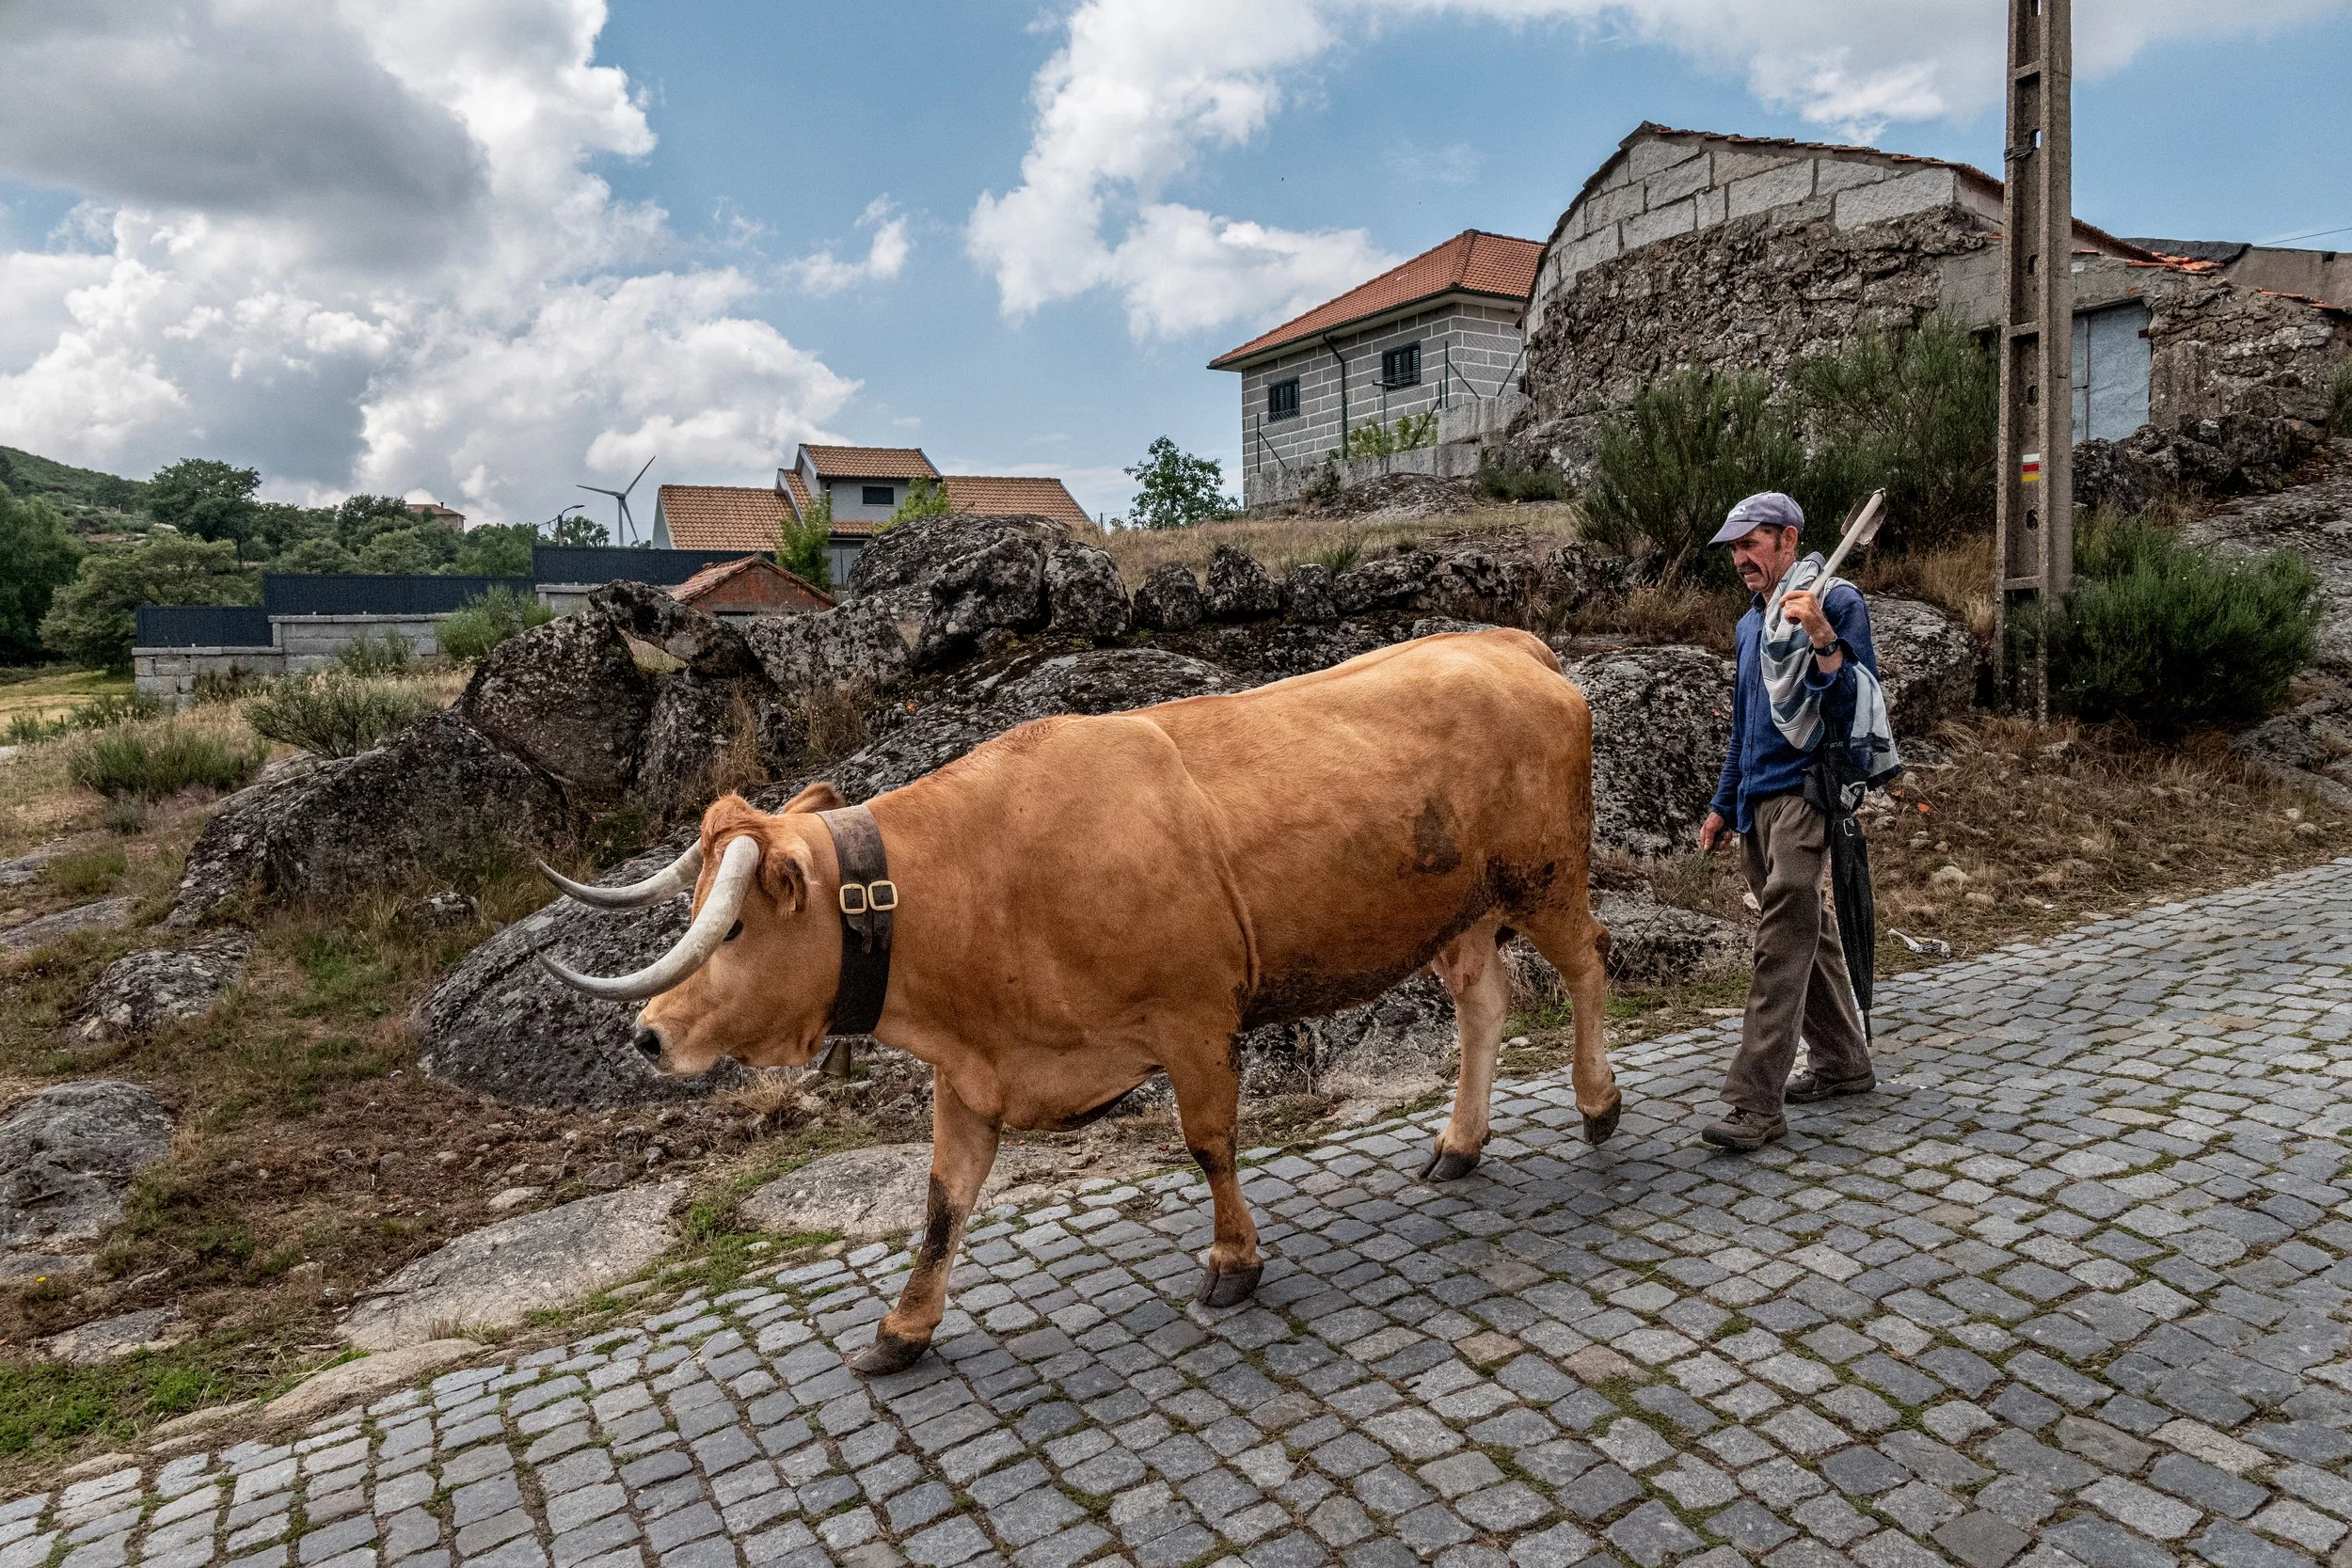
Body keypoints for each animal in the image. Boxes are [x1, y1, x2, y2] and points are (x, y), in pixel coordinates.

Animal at [538, 628, 1619, 1375]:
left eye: (728, 929)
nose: (647, 1034)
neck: (983, 883)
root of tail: (1500, 641)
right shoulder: (969, 1074)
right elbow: (943, 1200)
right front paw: (903, 1326)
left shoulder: (1193, 1019)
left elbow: (1208, 1143)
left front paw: (1234, 1262)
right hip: (1463, 914)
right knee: (1484, 1007)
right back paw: (1459, 1143)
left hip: (1545, 876)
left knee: (1588, 969)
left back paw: (1599, 1104)